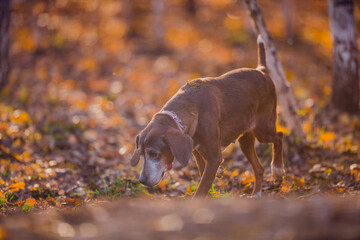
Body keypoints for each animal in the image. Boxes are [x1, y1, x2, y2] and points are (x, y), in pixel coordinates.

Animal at [130, 35, 284, 197]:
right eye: (140, 154)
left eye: (154, 153)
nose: (142, 180)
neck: (190, 110)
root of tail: (262, 70)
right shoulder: (195, 149)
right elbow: (203, 175)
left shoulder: (214, 158)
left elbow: (201, 189)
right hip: (245, 139)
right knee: (259, 168)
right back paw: (256, 193)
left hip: (263, 128)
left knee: (279, 136)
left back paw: (278, 169)